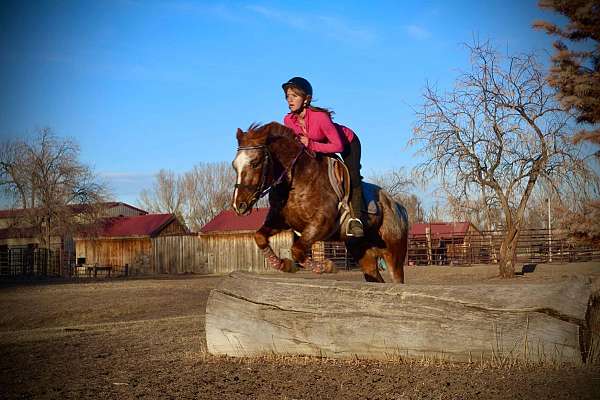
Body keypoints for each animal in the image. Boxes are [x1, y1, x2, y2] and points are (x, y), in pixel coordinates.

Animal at [232, 122, 410, 284]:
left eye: (255, 162)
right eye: (234, 166)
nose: (238, 205)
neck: (297, 179)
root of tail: (397, 206)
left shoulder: (321, 224)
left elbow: (297, 250)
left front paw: (326, 267)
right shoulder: (281, 220)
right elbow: (259, 237)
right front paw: (282, 264)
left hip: (393, 253)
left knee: (397, 278)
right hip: (362, 251)